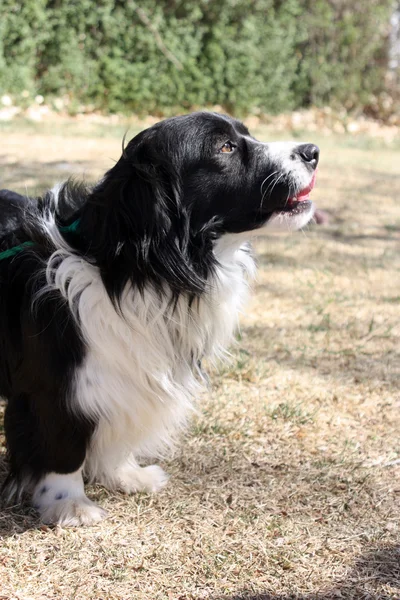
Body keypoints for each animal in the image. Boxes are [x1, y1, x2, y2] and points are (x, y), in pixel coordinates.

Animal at [0, 112, 318, 524]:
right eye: (226, 147)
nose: (313, 151)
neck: (132, 268)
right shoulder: (54, 386)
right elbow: (62, 442)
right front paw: (69, 503)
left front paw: (125, 474)